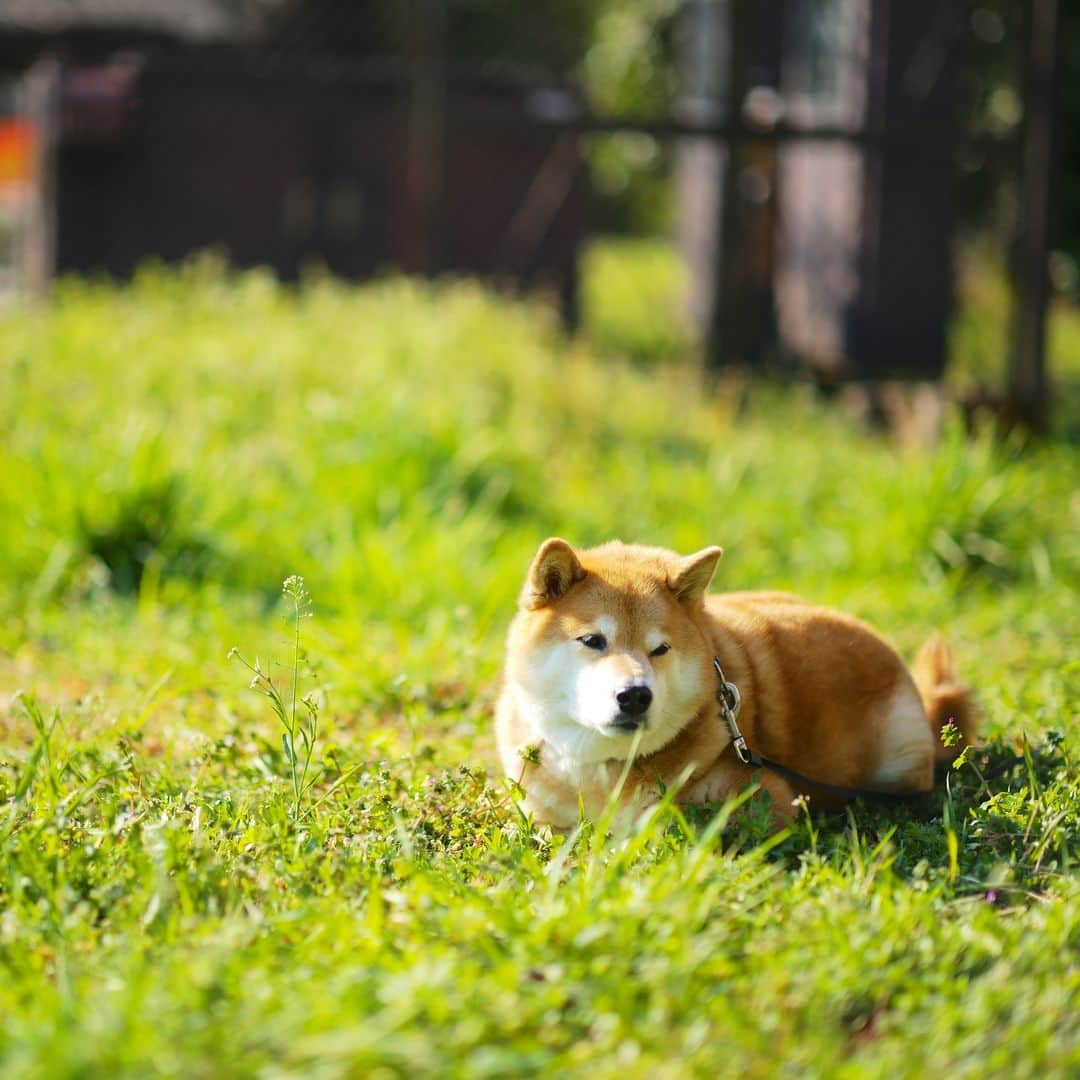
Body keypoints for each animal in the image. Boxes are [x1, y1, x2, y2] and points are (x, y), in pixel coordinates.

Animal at [496, 537, 980, 825]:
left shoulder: (768, 797)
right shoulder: (539, 809)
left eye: (660, 649)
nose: (635, 696)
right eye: (593, 640)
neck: (602, 769)